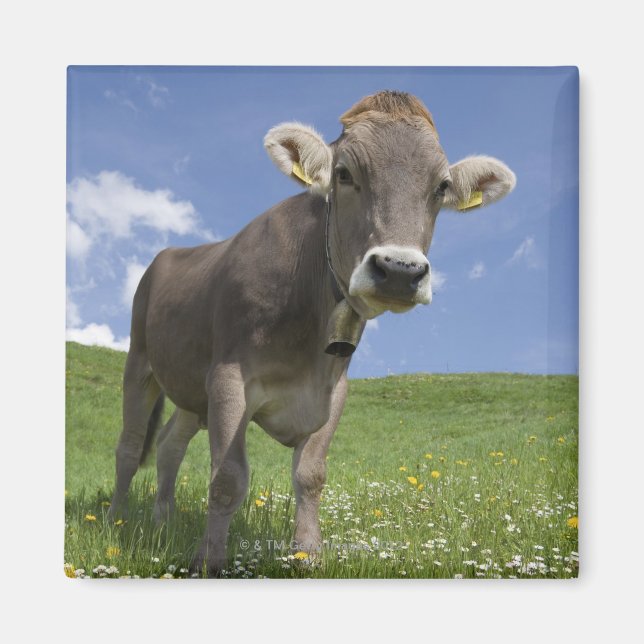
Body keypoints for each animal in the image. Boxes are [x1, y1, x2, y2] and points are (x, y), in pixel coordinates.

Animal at [108, 90, 516, 576]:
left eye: (441, 187)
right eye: (344, 174)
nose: (400, 270)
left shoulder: (333, 389)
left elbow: (311, 474)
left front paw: (307, 555)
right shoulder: (228, 377)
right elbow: (227, 477)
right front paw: (209, 561)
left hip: (190, 389)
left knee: (169, 444)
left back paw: (164, 520)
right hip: (139, 362)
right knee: (130, 446)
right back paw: (115, 520)